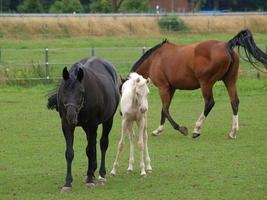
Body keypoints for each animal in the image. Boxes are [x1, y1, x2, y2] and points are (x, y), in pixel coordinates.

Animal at [47, 57, 120, 191]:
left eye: (81, 91)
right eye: (64, 91)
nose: (71, 116)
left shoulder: (92, 125)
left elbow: (91, 151)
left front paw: (90, 180)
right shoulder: (67, 126)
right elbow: (70, 153)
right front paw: (68, 182)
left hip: (108, 121)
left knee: (103, 144)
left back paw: (101, 174)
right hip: (87, 128)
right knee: (92, 144)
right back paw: (91, 171)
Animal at [131, 29, 267, 139]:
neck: (154, 59)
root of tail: (226, 45)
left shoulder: (163, 87)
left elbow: (165, 109)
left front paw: (181, 129)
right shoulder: (171, 88)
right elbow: (165, 109)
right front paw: (158, 130)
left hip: (206, 83)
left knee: (209, 103)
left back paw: (197, 129)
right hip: (230, 81)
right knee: (234, 102)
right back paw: (233, 132)